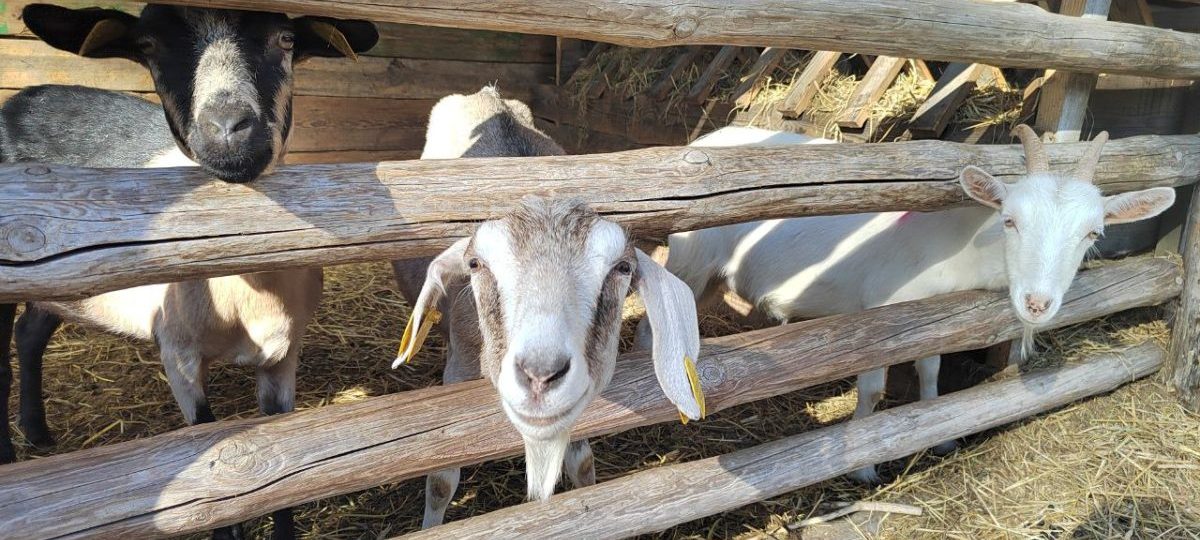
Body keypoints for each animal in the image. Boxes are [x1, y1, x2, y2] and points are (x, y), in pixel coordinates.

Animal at [0, 5, 376, 539]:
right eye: (149, 46)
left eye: (285, 39)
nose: (227, 127)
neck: (245, 294)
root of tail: (24, 96)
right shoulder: (177, 353)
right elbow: (209, 462)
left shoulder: (284, 356)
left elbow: (286, 461)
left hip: (62, 280)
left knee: (30, 333)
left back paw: (38, 433)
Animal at [391, 88, 704, 525]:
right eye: (475, 264)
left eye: (622, 268)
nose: (540, 376)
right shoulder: (461, 369)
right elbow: (439, 480)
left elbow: (583, 464)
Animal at [637, 125, 1175, 483]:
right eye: (1011, 221)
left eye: (1093, 233)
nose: (1037, 303)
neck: (959, 244)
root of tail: (711, 135)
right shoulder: (879, 315)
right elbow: (874, 391)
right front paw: (864, 468)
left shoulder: (929, 318)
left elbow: (931, 373)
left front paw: (941, 435)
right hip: (690, 258)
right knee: (650, 329)